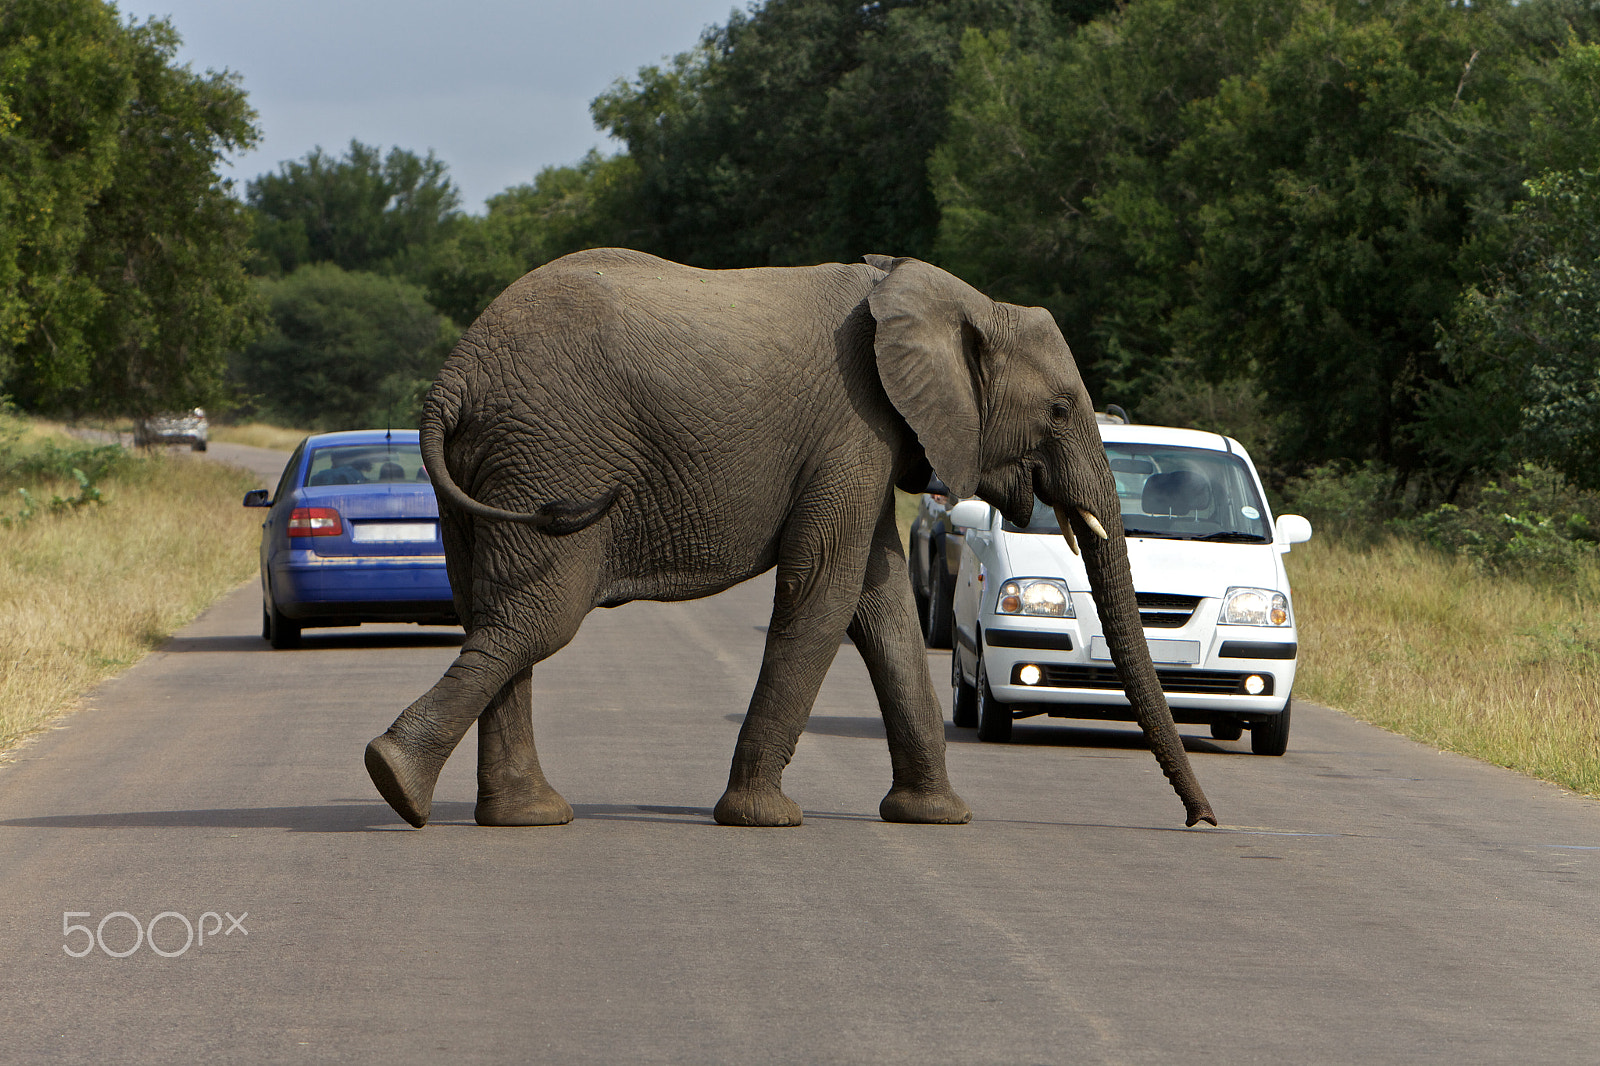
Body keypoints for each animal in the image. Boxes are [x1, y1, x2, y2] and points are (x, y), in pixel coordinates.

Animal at [360, 244, 1209, 825]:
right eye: (1061, 409)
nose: (1202, 819)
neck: (946, 297)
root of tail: (452, 381)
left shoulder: (868, 440)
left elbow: (882, 606)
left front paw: (936, 817)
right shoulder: (854, 425)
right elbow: (826, 590)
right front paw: (763, 819)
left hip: (493, 471)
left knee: (494, 616)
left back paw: (513, 813)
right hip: (549, 459)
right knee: (536, 618)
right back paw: (396, 780)